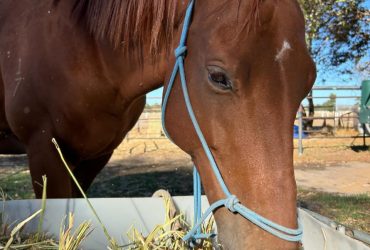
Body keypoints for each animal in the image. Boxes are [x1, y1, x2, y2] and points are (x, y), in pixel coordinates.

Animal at [1, 0, 316, 249]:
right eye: (218, 77)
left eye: (309, 81)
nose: (273, 244)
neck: (83, 48)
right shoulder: (44, 150)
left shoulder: (95, 156)